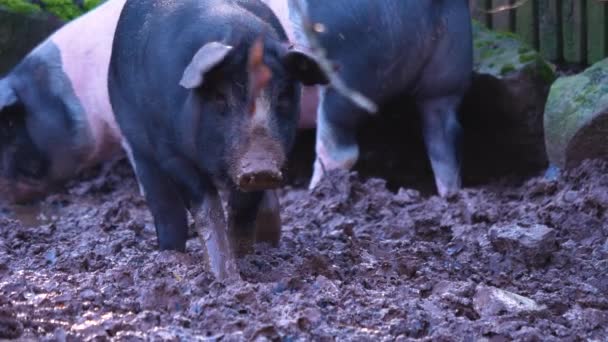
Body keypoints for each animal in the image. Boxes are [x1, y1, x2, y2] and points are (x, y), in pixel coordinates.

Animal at [107, 0, 330, 280]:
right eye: (220, 97)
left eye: (283, 96)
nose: (261, 165)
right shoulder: (171, 154)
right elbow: (207, 209)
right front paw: (224, 278)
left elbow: (244, 210)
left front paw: (245, 262)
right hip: (140, 149)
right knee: (164, 206)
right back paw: (170, 255)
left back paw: (270, 243)